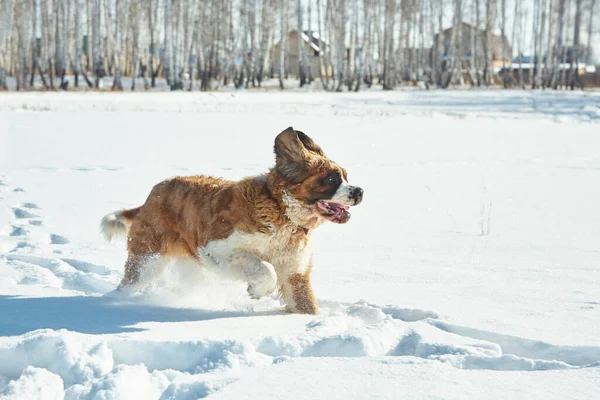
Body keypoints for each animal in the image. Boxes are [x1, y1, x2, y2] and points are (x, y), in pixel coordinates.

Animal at [101, 126, 364, 314]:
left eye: (346, 176)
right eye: (331, 179)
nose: (360, 191)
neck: (282, 211)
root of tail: (153, 193)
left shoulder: (295, 273)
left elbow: (305, 304)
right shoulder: (217, 248)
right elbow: (264, 266)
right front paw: (257, 290)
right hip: (148, 259)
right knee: (129, 282)